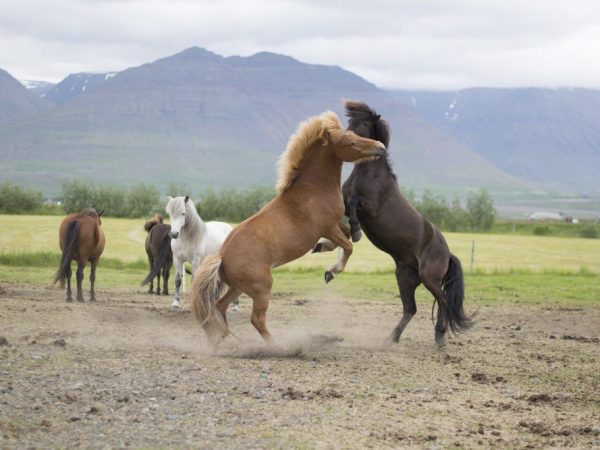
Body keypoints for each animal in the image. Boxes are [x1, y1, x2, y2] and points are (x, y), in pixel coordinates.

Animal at [190, 110, 384, 346]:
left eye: (354, 134)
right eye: (351, 142)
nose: (380, 147)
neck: (313, 189)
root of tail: (222, 257)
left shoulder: (333, 225)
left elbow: (347, 235)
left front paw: (321, 247)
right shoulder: (327, 227)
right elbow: (348, 247)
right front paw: (331, 272)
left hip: (238, 288)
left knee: (220, 307)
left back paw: (219, 341)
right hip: (261, 289)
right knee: (256, 320)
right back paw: (278, 347)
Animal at [316, 101, 472, 348]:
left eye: (361, 125)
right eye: (349, 122)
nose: (344, 138)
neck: (370, 174)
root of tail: (448, 254)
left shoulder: (369, 208)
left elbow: (353, 211)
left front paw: (356, 234)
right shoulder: (344, 204)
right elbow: (341, 226)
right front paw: (324, 247)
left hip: (430, 278)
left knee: (444, 302)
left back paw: (439, 337)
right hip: (405, 277)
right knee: (411, 309)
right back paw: (391, 338)